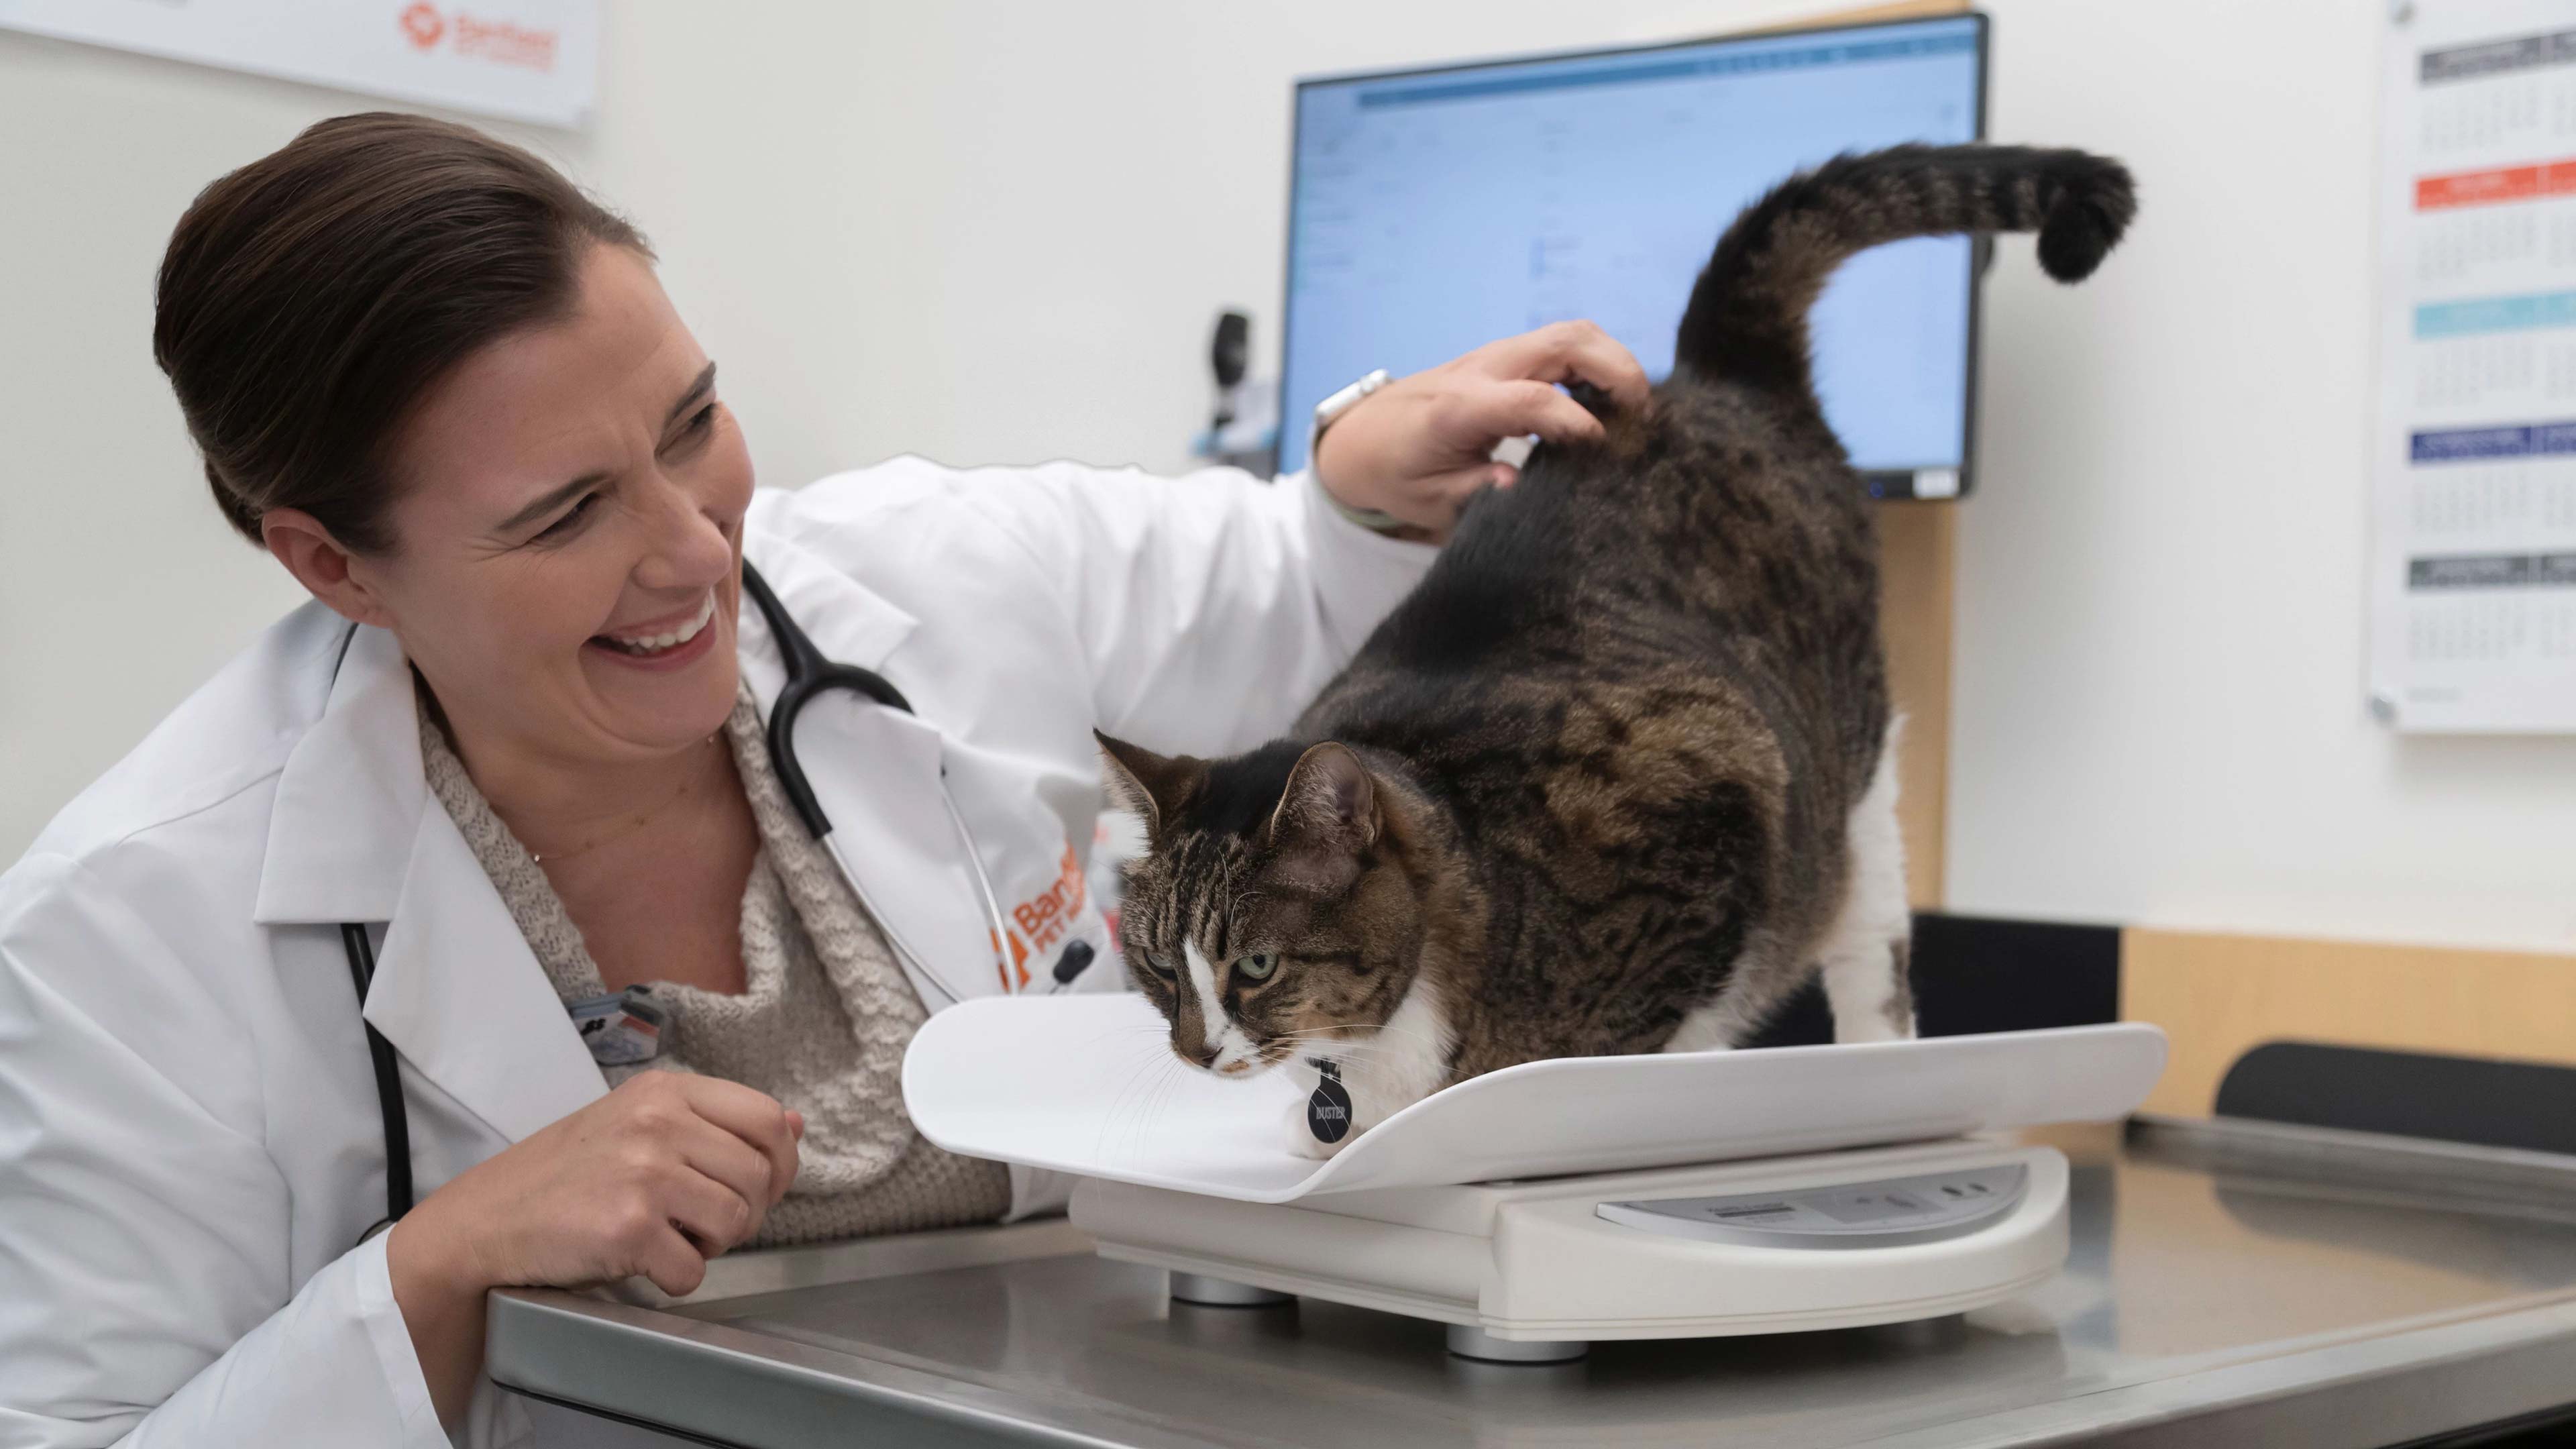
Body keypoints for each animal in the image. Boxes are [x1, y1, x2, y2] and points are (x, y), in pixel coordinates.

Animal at [1102, 138, 2133, 1150]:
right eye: (1157, 964)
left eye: (1257, 965)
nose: (1196, 1051)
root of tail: (1714, 371)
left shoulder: (1714, 799)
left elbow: (1643, 1039)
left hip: (1847, 771)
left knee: (1868, 935)